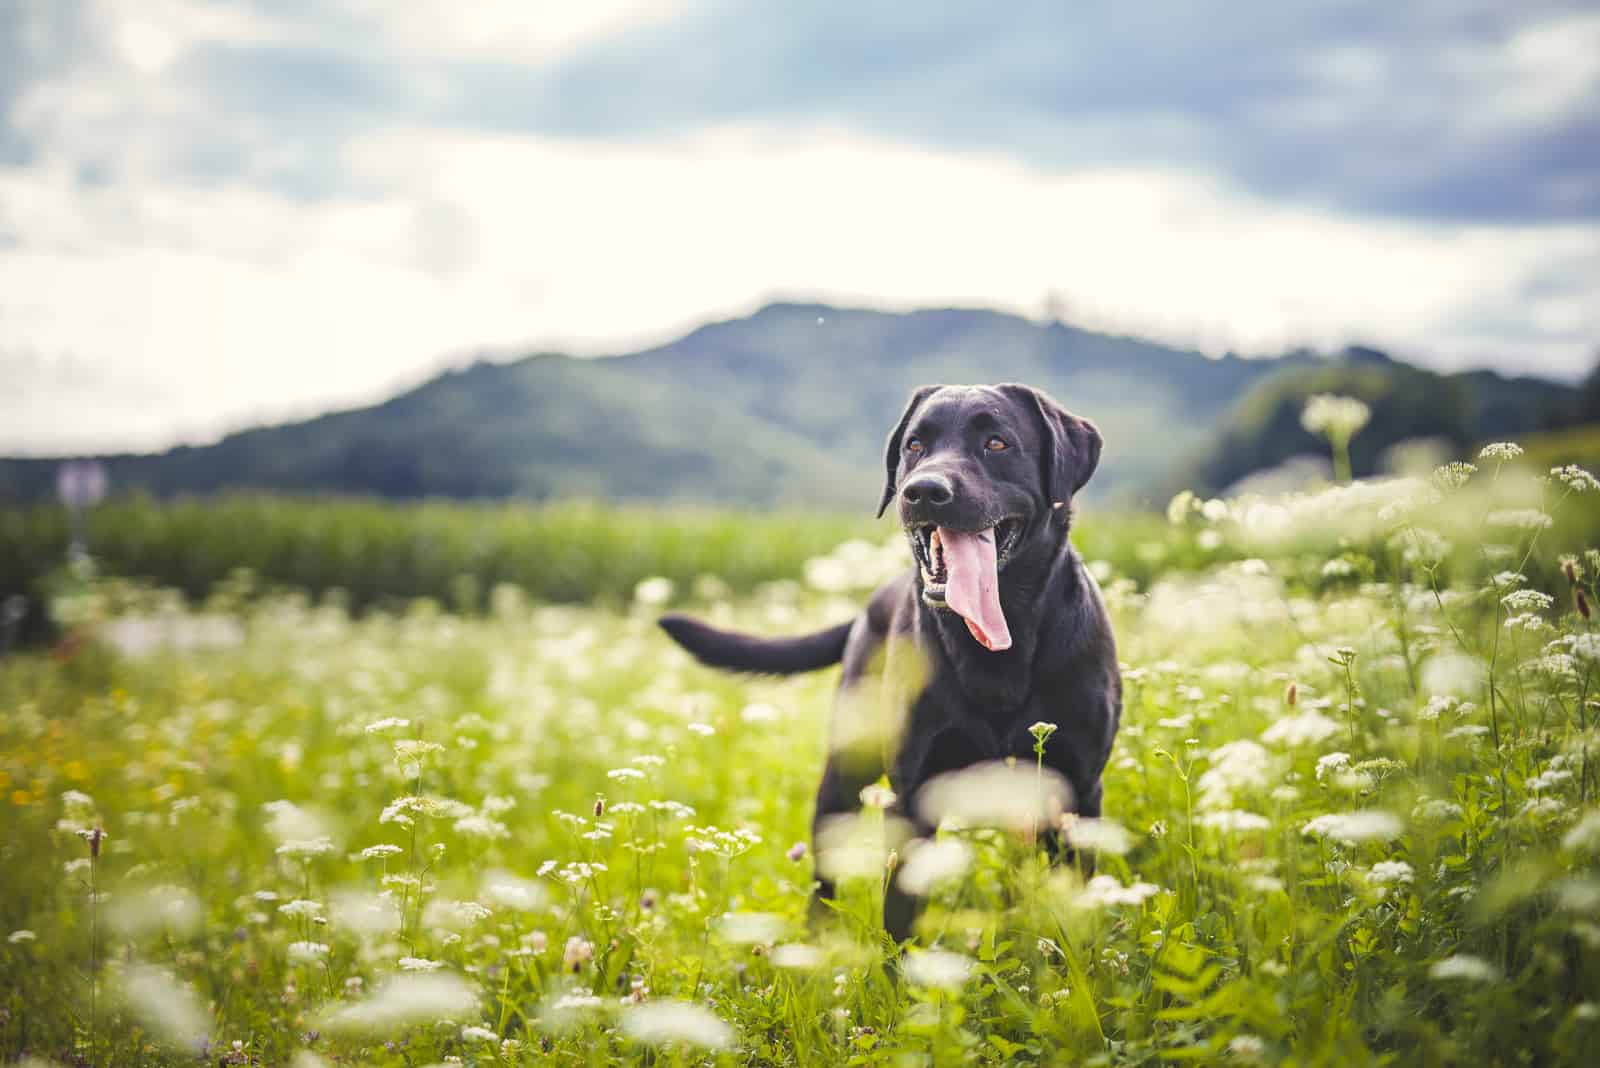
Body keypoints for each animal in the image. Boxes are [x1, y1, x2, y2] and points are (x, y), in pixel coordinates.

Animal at [656, 385, 1120, 940]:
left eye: (997, 442)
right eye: (915, 445)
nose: (923, 491)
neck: (997, 646)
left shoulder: (1079, 789)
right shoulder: (912, 794)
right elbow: (900, 916)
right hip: (842, 775)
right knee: (824, 876)